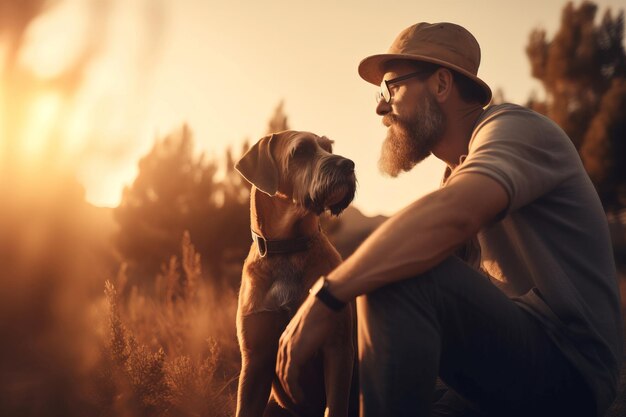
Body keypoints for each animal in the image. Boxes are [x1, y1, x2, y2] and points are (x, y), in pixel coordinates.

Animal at [233, 131, 356, 416]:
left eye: (328, 147)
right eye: (300, 151)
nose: (349, 165)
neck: (288, 249)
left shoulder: (337, 348)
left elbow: (336, 405)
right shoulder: (255, 359)